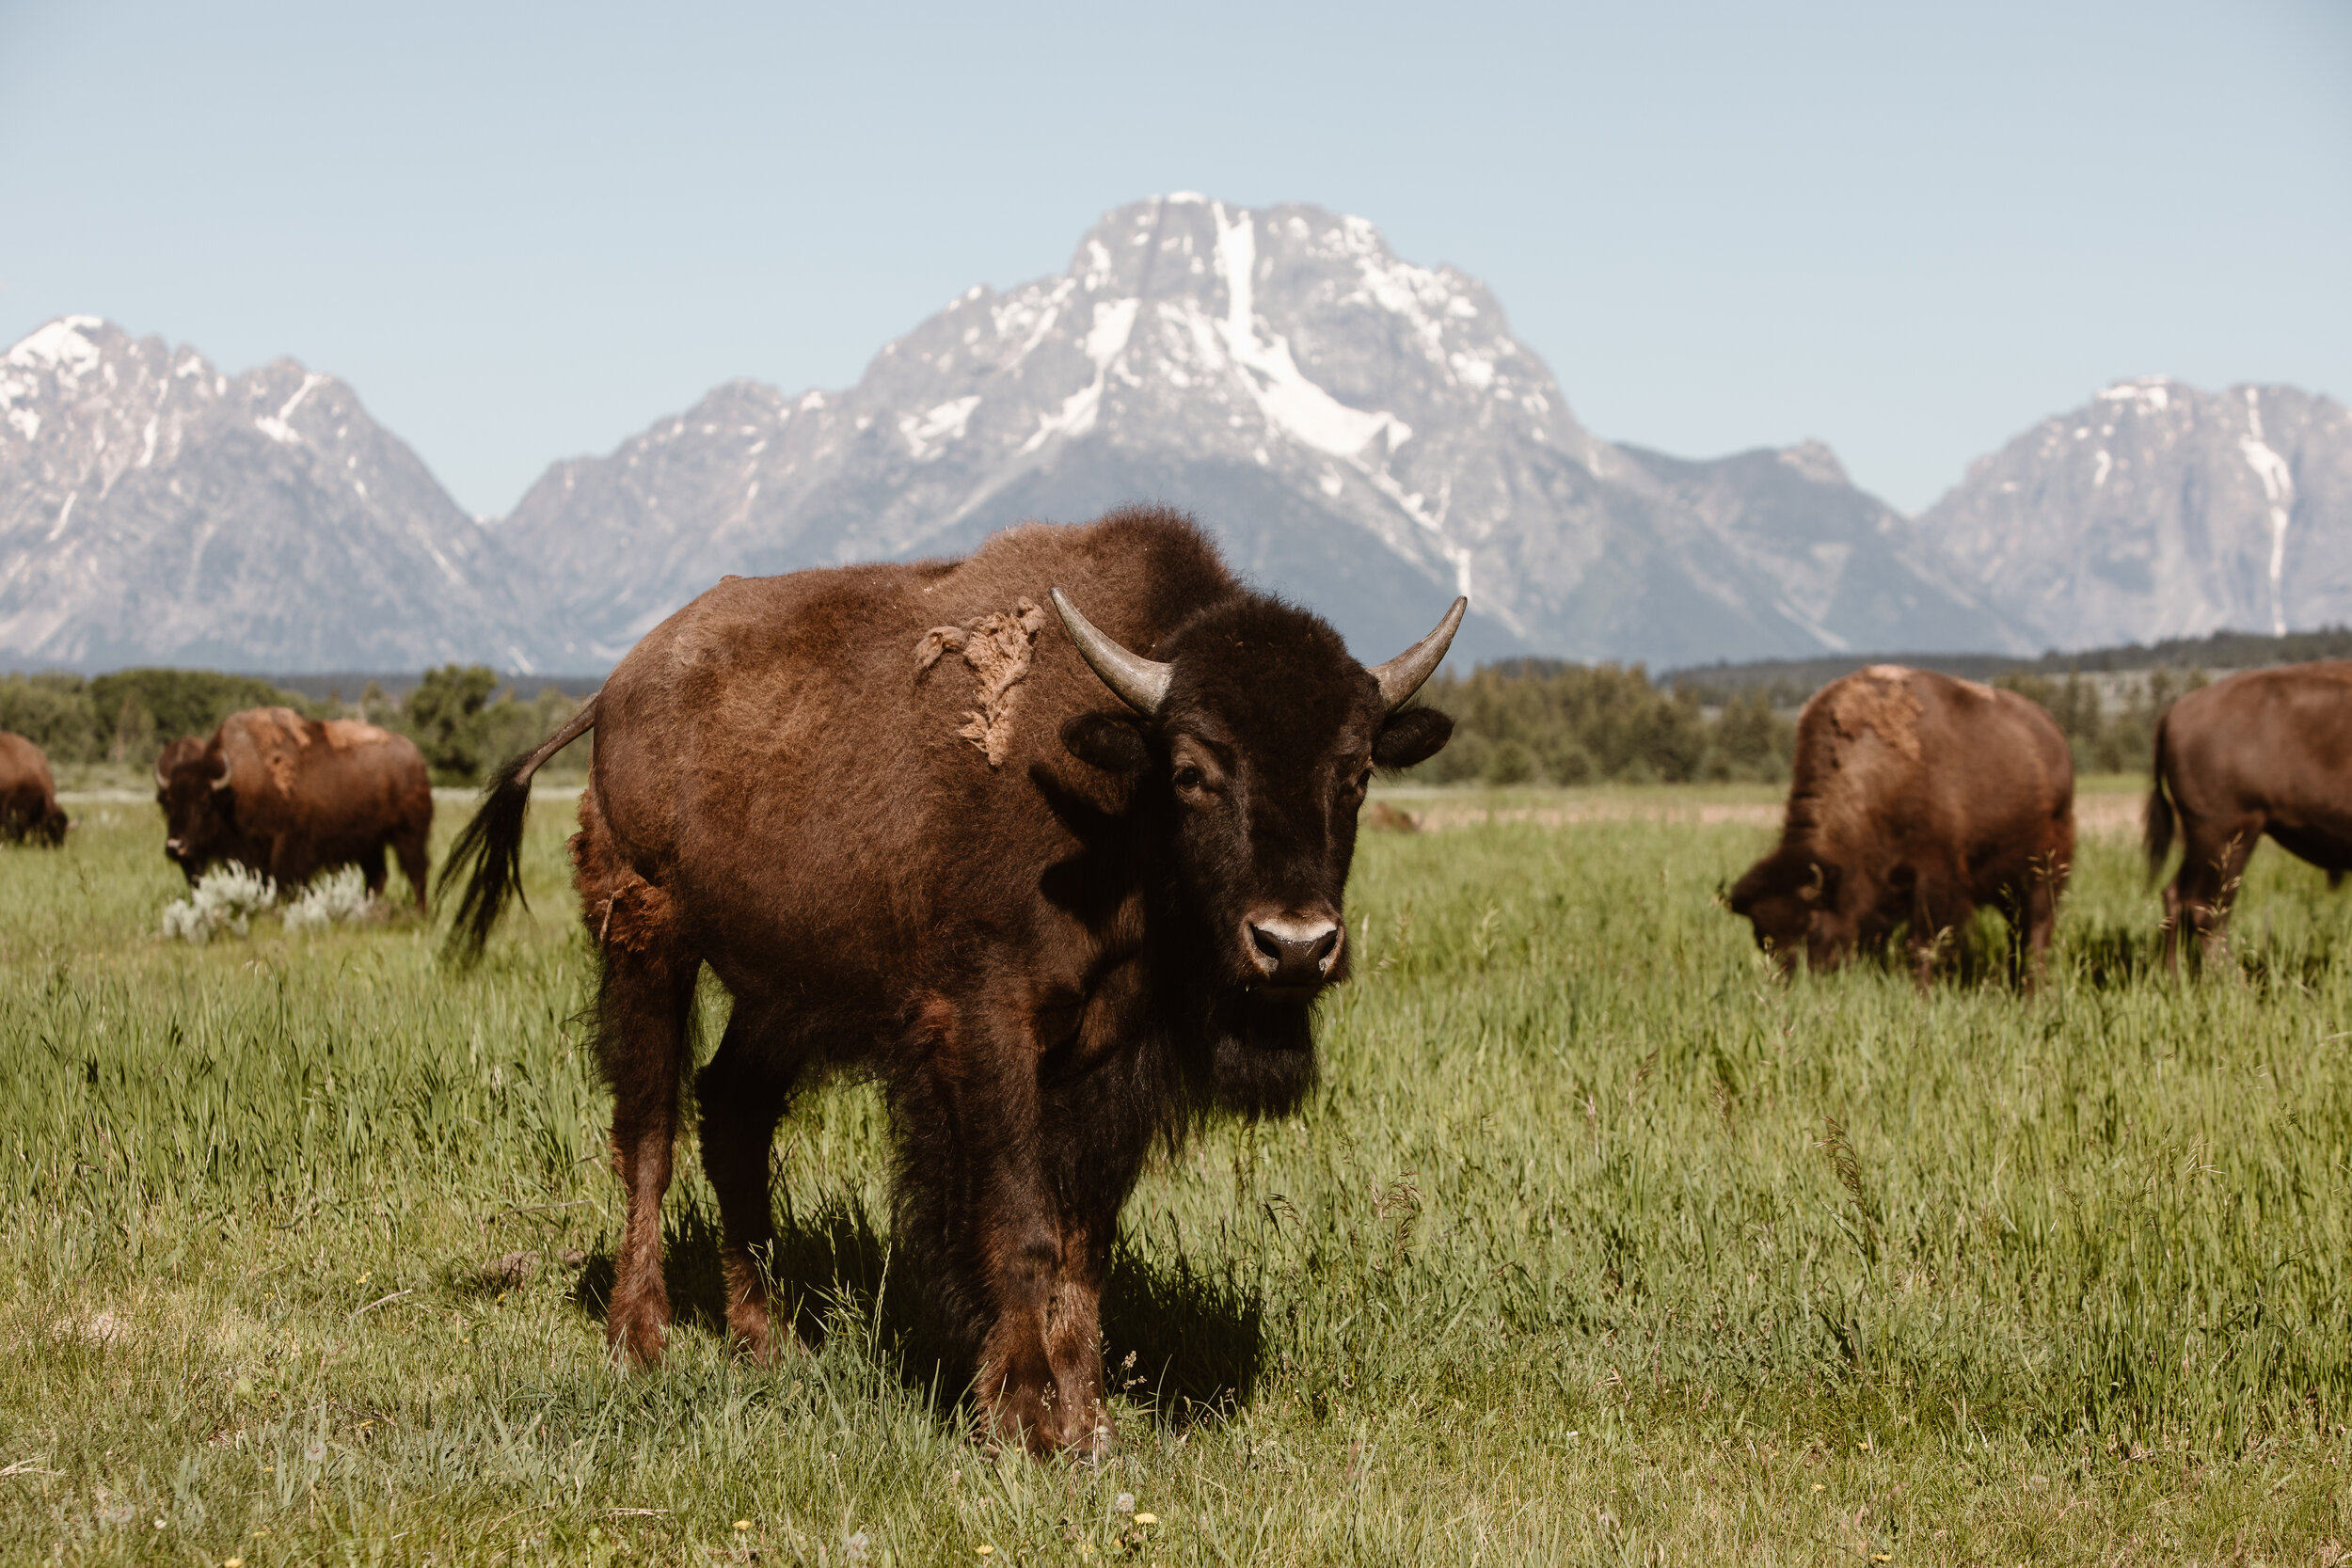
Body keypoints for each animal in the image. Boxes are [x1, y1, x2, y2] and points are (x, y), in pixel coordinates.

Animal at [153, 709, 435, 911]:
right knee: (378, 877)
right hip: (370, 843)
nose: (175, 846)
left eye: (203, 802)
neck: (234, 791)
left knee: (417, 872)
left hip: (408, 835)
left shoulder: (287, 845)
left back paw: (420, 913)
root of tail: (417, 759)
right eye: (168, 803)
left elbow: (283, 881)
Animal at [442, 510, 1458, 1457]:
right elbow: (1020, 1221)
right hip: (647, 942)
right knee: (648, 1131)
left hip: (781, 990)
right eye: (1190, 770)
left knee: (732, 1113)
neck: (1109, 800)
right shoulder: (986, 1028)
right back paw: (642, 1339)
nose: (1295, 944)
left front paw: (1091, 1424)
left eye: (1356, 771)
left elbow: (1083, 1240)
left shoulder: (1111, 1055)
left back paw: (767, 1341)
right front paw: (1024, 1419)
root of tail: (617, 688)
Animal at [1731, 662, 2079, 982]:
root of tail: (2054, 736)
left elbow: (1922, 942)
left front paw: (1921, 990)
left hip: (2043, 871)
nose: (1792, 982)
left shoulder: (1935, 878)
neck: (1878, 772)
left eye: (1811, 928)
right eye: (1762, 939)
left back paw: (2032, 988)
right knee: (2016, 931)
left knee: (2036, 928)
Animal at [2154, 657, 2352, 963]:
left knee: (2177, 896)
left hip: (2204, 839)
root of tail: (2175, 711)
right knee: (2206, 908)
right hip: (2229, 833)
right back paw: (2232, 976)